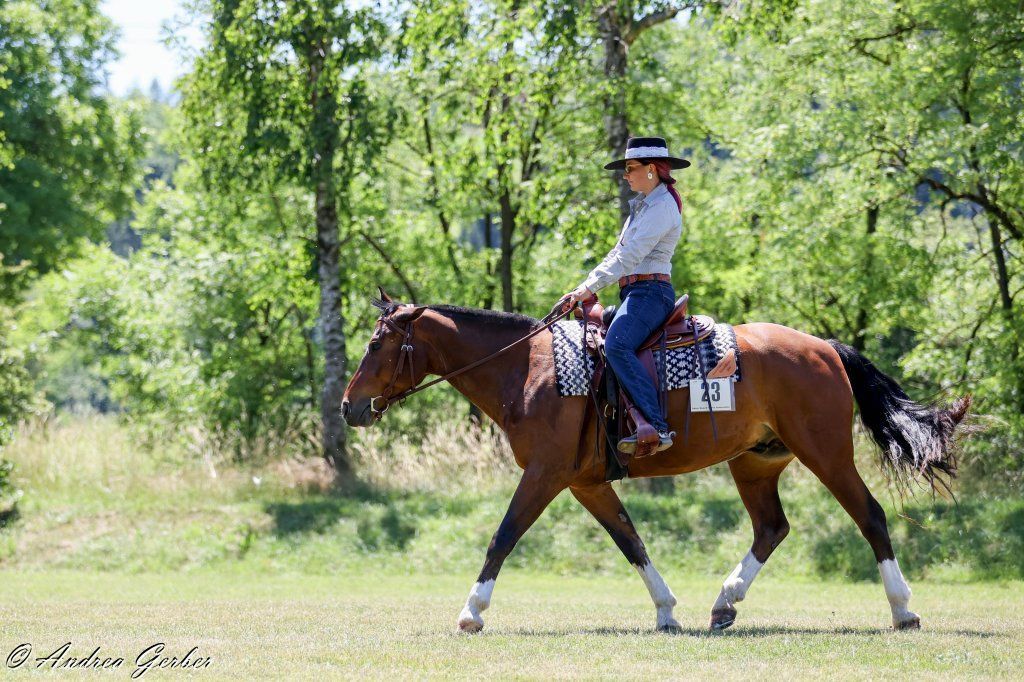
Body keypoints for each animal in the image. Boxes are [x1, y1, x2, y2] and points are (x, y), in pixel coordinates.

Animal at [341, 288, 971, 633]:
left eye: (375, 345)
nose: (349, 406)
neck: (526, 369)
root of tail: (824, 347)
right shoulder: (585, 483)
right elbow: (631, 541)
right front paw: (667, 610)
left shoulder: (545, 475)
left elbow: (503, 536)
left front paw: (472, 611)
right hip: (756, 462)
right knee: (771, 527)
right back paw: (724, 603)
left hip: (827, 453)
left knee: (871, 516)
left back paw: (903, 610)